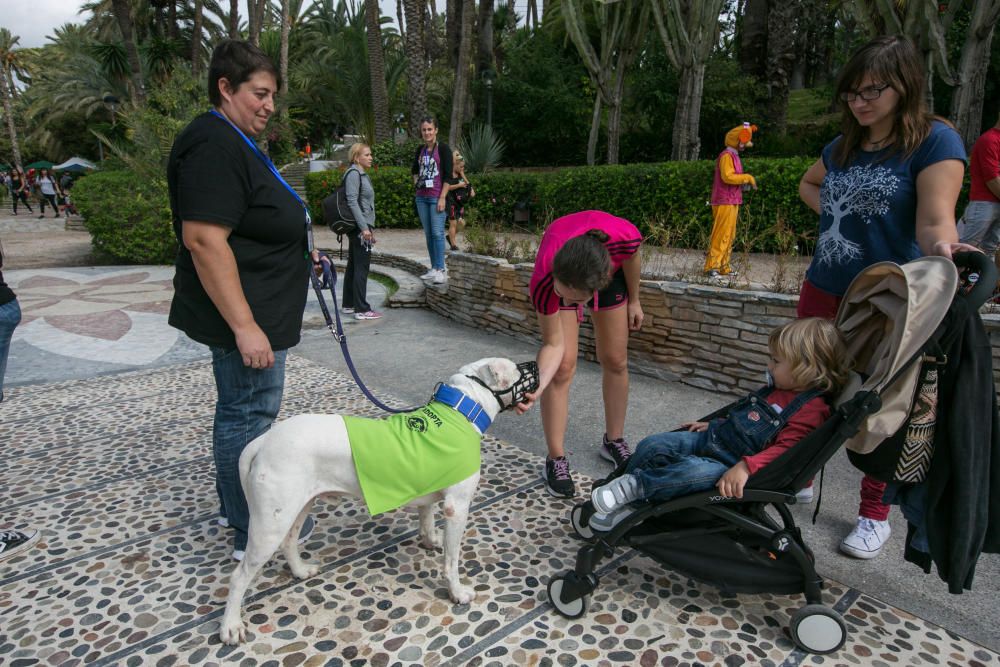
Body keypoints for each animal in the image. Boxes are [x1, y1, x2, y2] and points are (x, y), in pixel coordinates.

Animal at [215, 358, 536, 644]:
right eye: (518, 368)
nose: (536, 365)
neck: (459, 413)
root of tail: (263, 441)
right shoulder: (457, 507)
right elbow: (451, 561)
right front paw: (457, 593)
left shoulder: (432, 493)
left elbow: (427, 519)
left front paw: (431, 540)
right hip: (270, 524)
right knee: (239, 577)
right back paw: (230, 626)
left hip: (298, 507)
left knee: (289, 541)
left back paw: (300, 571)